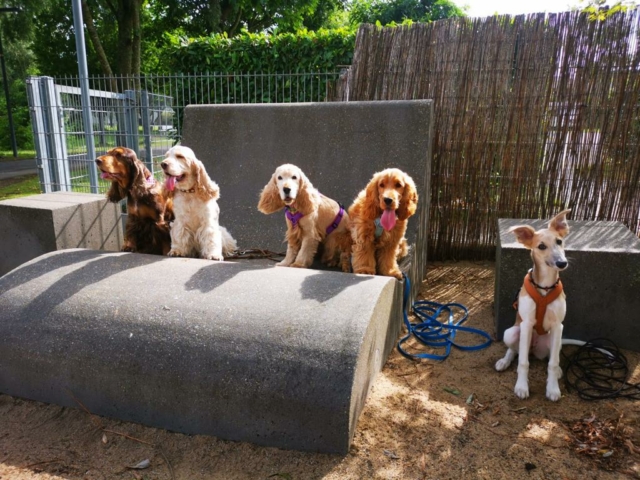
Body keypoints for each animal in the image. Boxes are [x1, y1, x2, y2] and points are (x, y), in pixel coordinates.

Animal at [495, 209, 571, 401]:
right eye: (541, 246)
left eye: (559, 241)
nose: (562, 263)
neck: (545, 287)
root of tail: (534, 349)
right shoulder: (527, 324)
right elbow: (523, 362)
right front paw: (521, 387)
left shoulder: (558, 326)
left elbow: (553, 362)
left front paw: (553, 388)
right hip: (512, 333)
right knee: (514, 351)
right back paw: (504, 361)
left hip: (554, 339)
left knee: (552, 355)